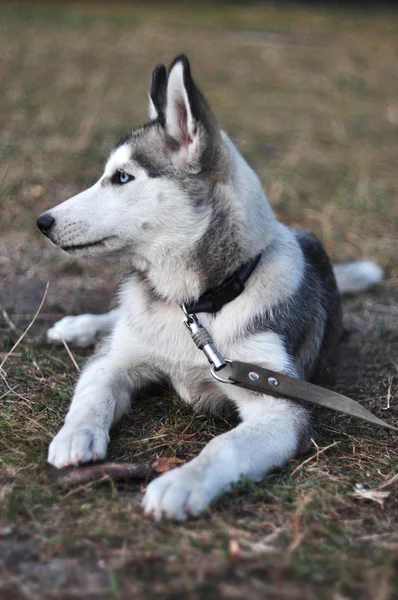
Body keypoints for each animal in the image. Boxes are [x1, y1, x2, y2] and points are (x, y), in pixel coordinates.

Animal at [37, 55, 382, 520]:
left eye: (122, 178)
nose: (43, 222)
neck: (198, 305)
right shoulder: (117, 360)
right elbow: (94, 392)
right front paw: (75, 436)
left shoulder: (277, 399)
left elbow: (225, 447)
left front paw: (181, 484)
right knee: (117, 316)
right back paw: (78, 326)